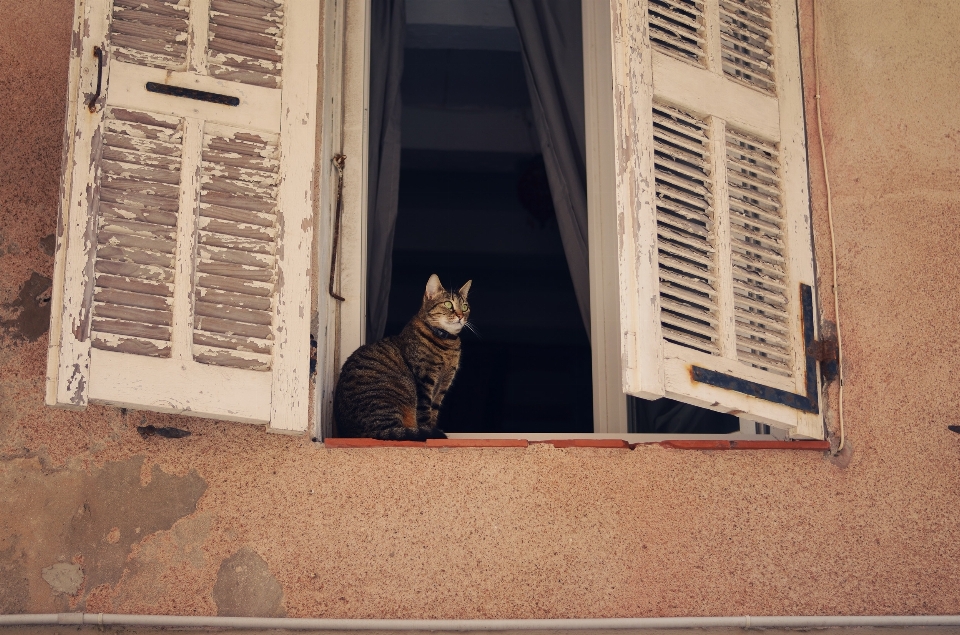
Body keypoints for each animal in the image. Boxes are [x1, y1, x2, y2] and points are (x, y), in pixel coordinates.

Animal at [334, 274, 472, 442]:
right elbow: (425, 413)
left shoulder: (443, 385)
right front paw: (431, 433)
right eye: (448, 304)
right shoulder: (425, 379)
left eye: (465, 307)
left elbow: (434, 411)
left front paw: (433, 429)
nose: (460, 316)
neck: (447, 344)